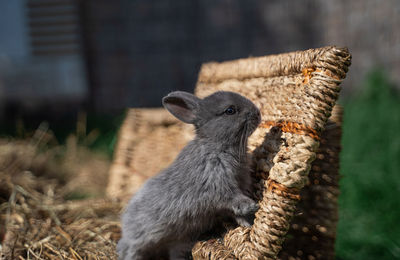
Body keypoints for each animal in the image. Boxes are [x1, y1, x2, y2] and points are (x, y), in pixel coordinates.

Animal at [117, 90, 260, 258]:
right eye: (230, 110)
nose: (257, 113)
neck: (217, 146)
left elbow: (235, 211)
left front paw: (248, 223)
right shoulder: (216, 184)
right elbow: (232, 199)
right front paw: (252, 206)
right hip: (139, 242)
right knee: (131, 250)